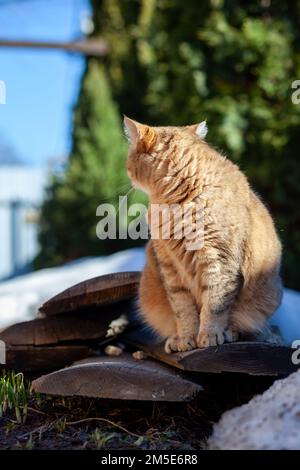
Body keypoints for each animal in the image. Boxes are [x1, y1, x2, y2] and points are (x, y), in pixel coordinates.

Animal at [123, 116, 282, 352]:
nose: (126, 170)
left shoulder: (219, 262)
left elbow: (214, 305)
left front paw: (210, 335)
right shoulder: (170, 268)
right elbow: (183, 310)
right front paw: (186, 339)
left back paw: (235, 333)